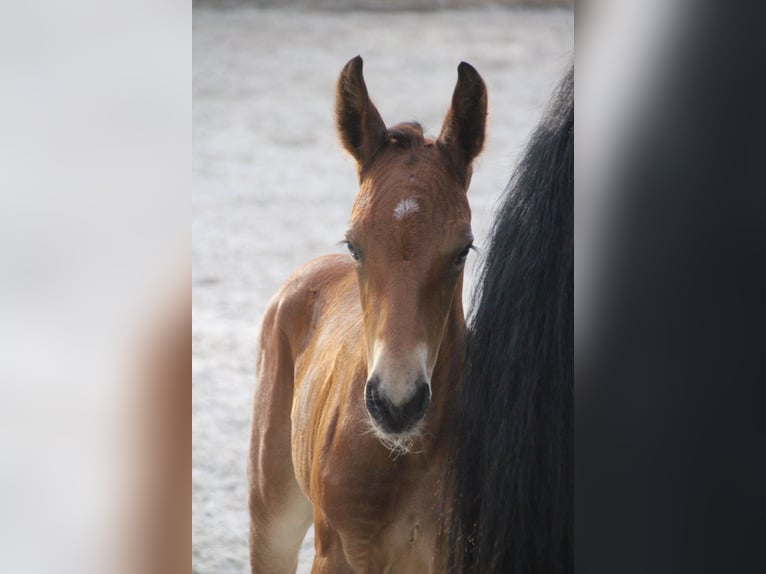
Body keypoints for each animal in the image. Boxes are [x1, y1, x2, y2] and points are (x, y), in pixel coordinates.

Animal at [248, 56, 487, 573]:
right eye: (355, 244)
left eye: (463, 250)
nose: (397, 403)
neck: (407, 456)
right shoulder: (335, 552)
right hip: (271, 512)